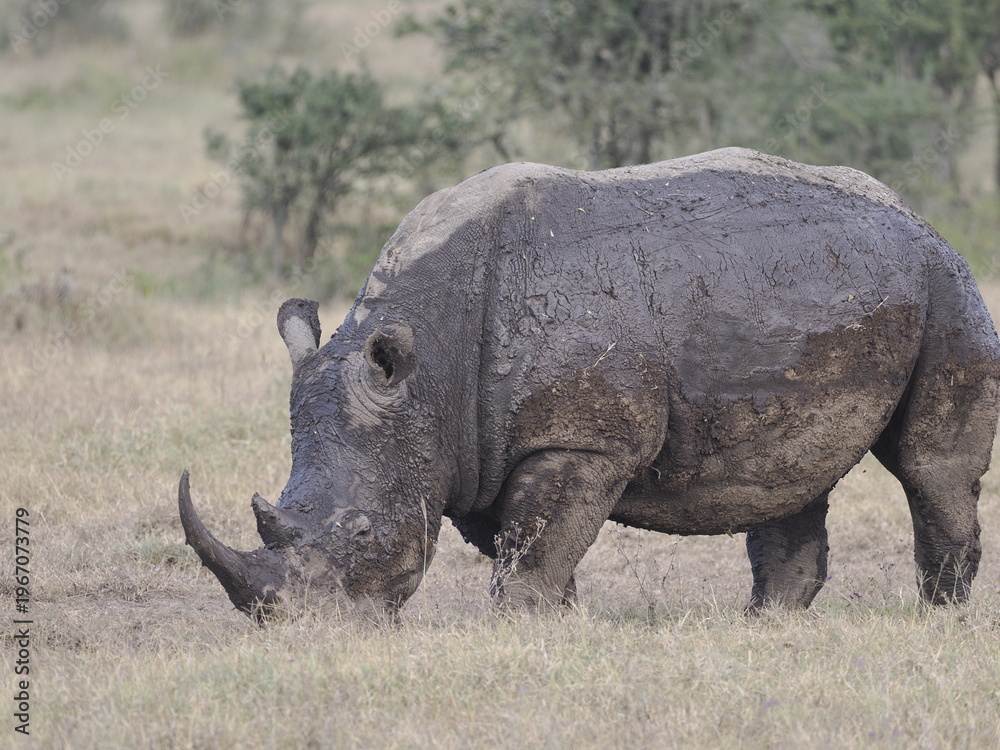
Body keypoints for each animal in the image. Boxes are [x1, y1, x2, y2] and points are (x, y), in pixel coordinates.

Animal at [179, 147, 1000, 620]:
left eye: (362, 535)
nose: (298, 629)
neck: (427, 369)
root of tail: (913, 215)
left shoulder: (581, 440)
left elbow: (535, 545)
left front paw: (523, 627)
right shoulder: (479, 448)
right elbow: (525, 541)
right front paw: (558, 623)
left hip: (946, 286)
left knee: (929, 466)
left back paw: (937, 616)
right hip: (822, 287)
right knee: (792, 469)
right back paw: (770, 624)